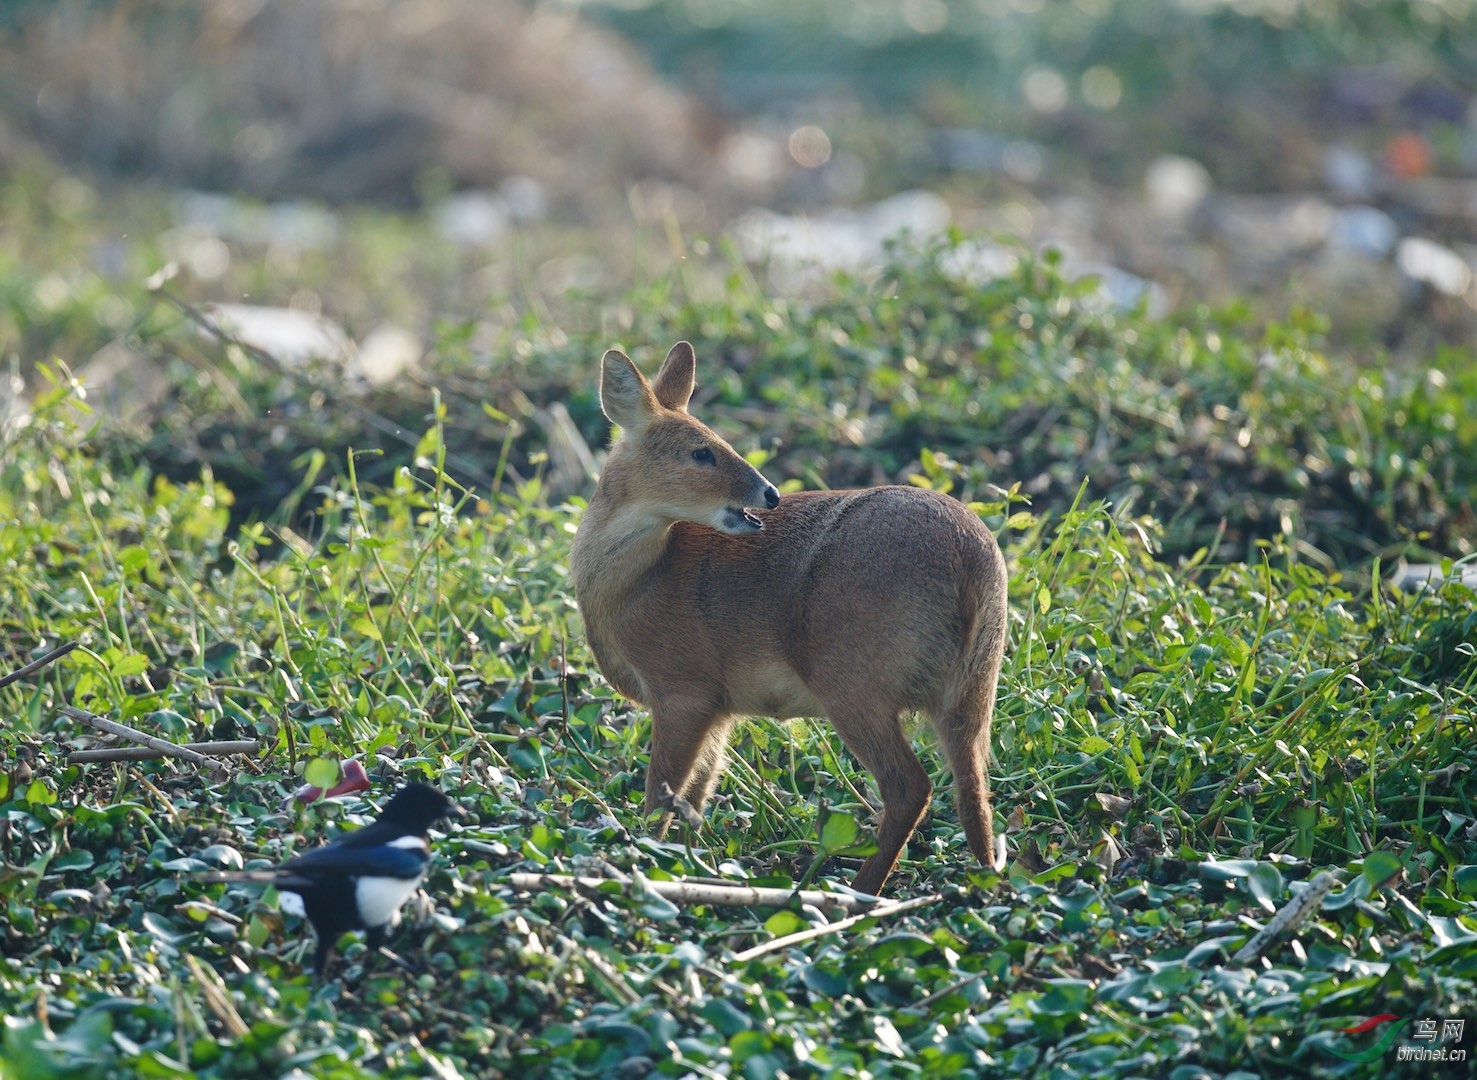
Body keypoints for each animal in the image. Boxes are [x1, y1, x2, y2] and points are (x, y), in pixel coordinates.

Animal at [570, 339, 1010, 898]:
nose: (770, 493)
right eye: (701, 451)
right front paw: (688, 863)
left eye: (717, 442)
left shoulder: (683, 686)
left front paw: (643, 859)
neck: (636, 584)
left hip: (851, 679)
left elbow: (660, 797)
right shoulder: (721, 706)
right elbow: (698, 792)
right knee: (974, 787)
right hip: (975, 686)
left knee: (911, 786)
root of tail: (970, 561)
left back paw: (851, 890)